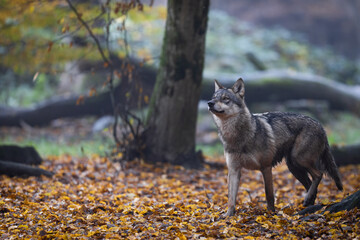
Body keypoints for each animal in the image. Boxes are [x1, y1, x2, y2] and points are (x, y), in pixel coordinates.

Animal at [207, 78, 342, 217]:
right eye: (214, 97)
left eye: (225, 98)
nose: (209, 103)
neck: (237, 136)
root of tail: (320, 125)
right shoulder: (234, 170)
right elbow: (231, 198)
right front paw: (228, 216)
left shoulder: (266, 167)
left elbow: (269, 194)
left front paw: (271, 214)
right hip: (294, 166)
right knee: (311, 184)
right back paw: (308, 203)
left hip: (299, 160)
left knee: (319, 174)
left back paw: (307, 201)